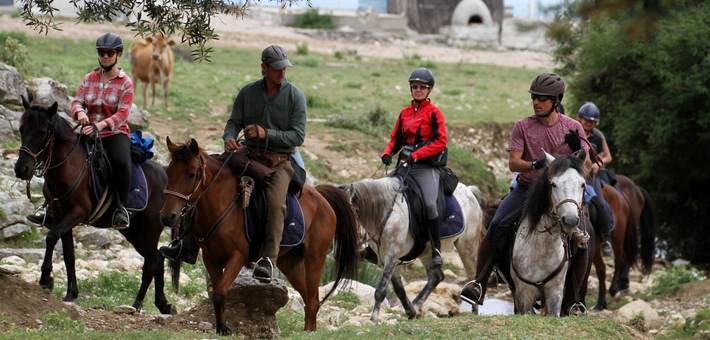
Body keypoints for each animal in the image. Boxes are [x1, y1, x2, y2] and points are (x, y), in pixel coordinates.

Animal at [13, 98, 175, 314]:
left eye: (42, 132)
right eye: (21, 129)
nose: (21, 169)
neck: (68, 167)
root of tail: (166, 175)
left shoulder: (78, 213)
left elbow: (51, 236)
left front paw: (46, 279)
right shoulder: (59, 215)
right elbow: (69, 254)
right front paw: (71, 294)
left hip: (151, 228)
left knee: (150, 264)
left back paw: (136, 305)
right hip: (133, 231)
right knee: (157, 259)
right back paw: (163, 304)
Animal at [161, 138, 362, 334]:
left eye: (191, 174)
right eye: (168, 172)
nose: (167, 216)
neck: (222, 204)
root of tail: (321, 197)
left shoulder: (238, 257)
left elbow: (219, 293)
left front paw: (224, 329)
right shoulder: (211, 259)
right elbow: (218, 295)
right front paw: (221, 328)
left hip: (315, 258)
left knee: (312, 301)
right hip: (290, 263)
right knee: (310, 299)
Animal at [342, 179, 486, 322]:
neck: (384, 213)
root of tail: (469, 190)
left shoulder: (392, 253)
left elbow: (381, 289)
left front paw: (374, 317)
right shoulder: (383, 256)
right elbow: (398, 288)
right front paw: (410, 312)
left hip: (467, 246)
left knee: (472, 276)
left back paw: (474, 312)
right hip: (428, 251)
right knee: (436, 277)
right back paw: (416, 305)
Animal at [512, 151, 588, 316]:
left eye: (583, 184)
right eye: (553, 184)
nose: (570, 220)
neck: (543, 250)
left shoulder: (555, 293)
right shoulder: (523, 294)